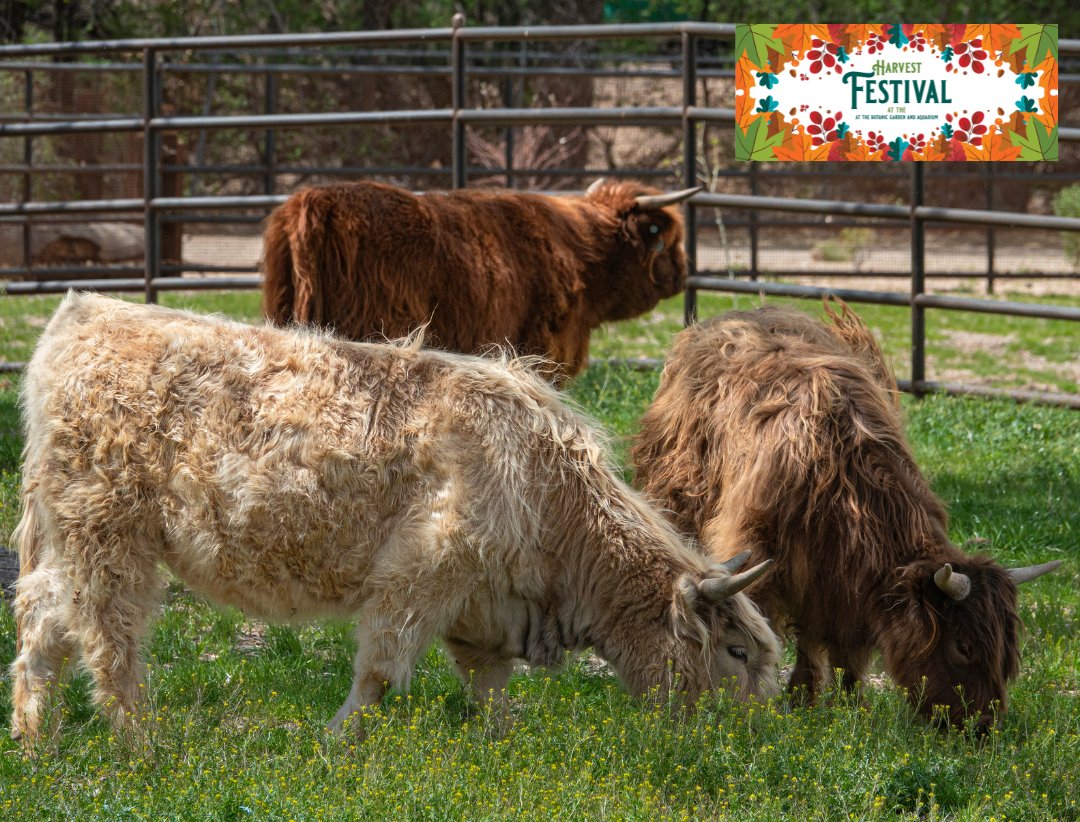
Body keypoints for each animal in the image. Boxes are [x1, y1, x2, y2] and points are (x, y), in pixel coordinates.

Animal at [10, 292, 780, 745]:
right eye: (737, 652)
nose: (752, 740)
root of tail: (87, 311)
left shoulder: (482, 610)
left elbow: (489, 690)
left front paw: (500, 746)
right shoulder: (419, 577)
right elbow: (380, 672)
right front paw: (333, 741)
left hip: (72, 544)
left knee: (44, 625)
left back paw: (34, 735)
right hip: (109, 539)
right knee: (108, 642)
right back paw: (141, 743)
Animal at [631, 301, 1061, 731]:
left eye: (1007, 654)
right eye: (962, 645)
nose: (981, 726)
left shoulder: (842, 585)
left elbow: (837, 650)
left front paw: (834, 703)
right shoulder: (760, 553)